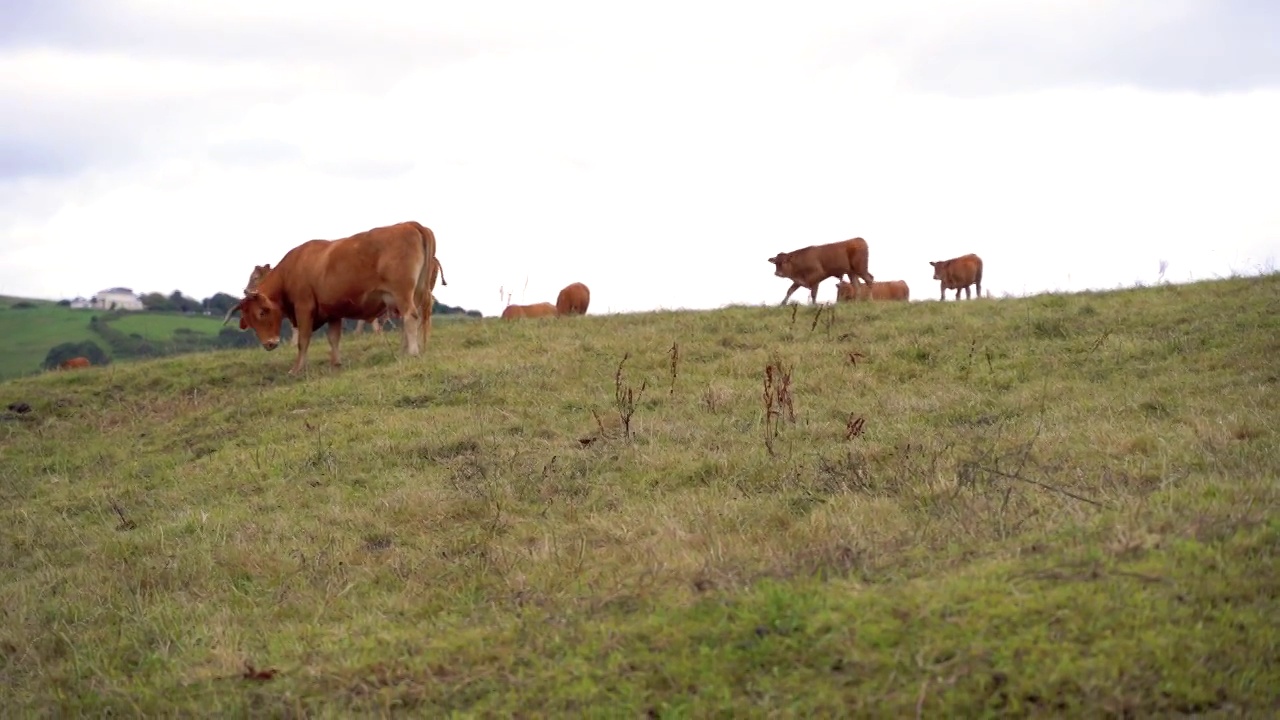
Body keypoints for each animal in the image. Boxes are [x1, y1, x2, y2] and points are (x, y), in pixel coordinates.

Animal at [222, 221, 437, 371]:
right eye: (249, 321)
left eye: (261, 313)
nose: (269, 344)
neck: (292, 269)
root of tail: (409, 224)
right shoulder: (333, 311)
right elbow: (333, 338)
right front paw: (335, 363)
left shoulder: (304, 307)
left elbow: (303, 340)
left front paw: (297, 368)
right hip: (414, 294)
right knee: (414, 320)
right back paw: (404, 352)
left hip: (402, 293)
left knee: (410, 317)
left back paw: (412, 353)